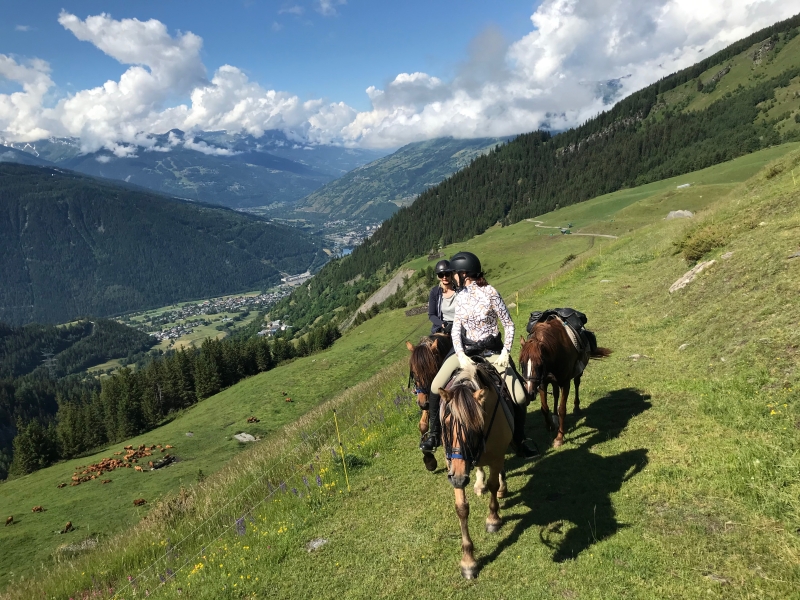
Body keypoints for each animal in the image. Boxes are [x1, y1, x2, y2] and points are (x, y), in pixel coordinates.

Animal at [438, 358, 512, 580]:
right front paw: (468, 561)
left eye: (474, 427)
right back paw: (479, 484)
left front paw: (493, 520)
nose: (459, 479)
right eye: (446, 423)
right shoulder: (454, 467)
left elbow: (494, 484)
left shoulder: (496, 456)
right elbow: (461, 508)